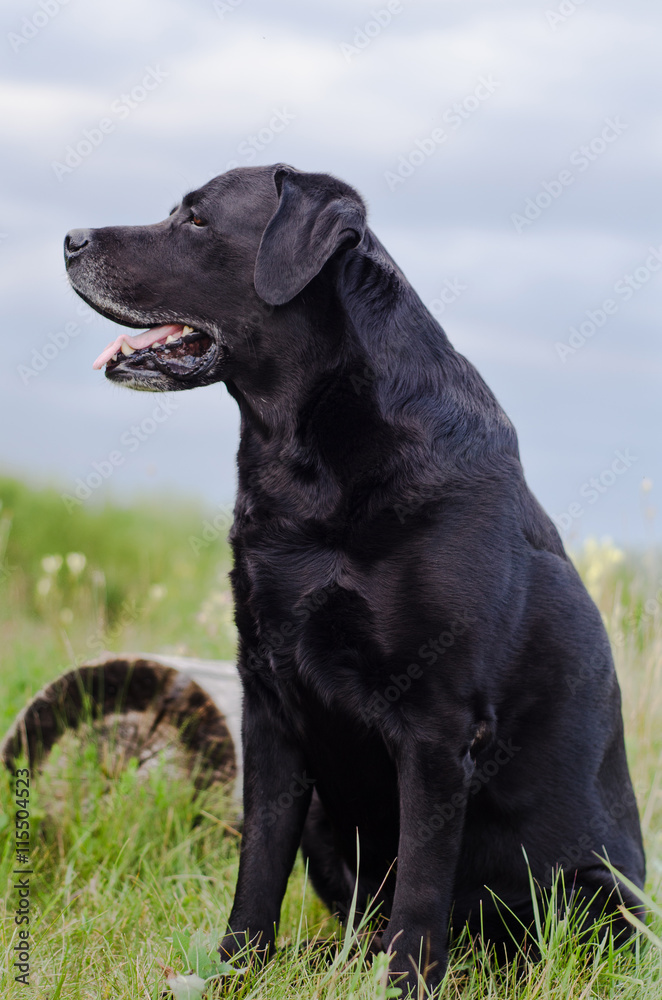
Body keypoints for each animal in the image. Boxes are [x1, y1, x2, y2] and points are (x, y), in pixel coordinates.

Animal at [65, 164, 644, 992]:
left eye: (198, 220)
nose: (70, 239)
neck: (303, 458)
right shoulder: (267, 704)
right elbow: (257, 868)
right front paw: (235, 973)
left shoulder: (437, 722)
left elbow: (422, 889)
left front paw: (404, 986)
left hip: (596, 889)